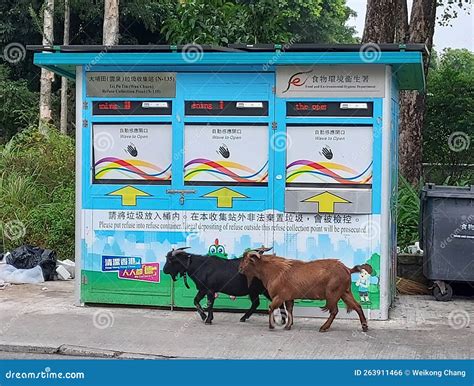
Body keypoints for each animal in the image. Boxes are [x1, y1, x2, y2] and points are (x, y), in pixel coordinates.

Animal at [239, 249, 372, 334]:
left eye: (246, 260)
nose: (239, 269)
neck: (275, 271)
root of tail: (347, 269)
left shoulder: (280, 296)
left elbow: (271, 308)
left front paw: (272, 325)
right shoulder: (289, 297)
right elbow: (290, 310)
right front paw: (288, 325)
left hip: (333, 293)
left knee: (334, 311)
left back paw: (323, 327)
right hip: (345, 292)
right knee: (357, 306)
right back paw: (364, 326)